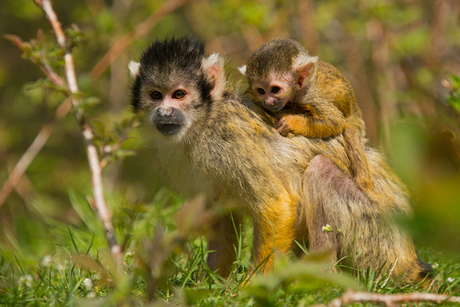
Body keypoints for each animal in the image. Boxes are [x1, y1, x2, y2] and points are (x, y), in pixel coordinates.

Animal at [241, 39, 374, 195]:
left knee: (352, 134)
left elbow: (334, 121)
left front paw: (290, 122)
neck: (296, 92)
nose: (268, 102)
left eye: (275, 90)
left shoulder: (310, 96)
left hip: (355, 119)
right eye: (261, 91)